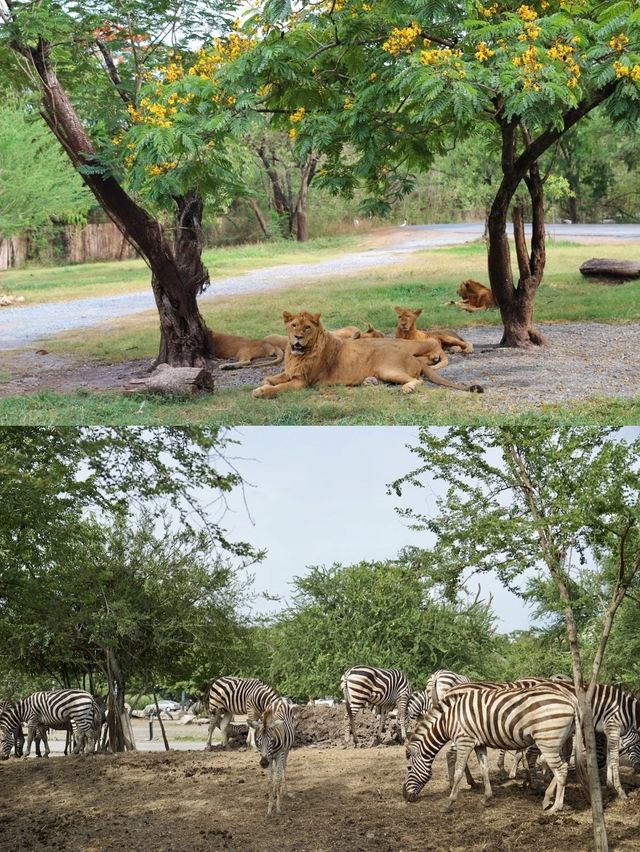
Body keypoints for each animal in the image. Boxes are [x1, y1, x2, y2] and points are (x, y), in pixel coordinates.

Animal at [252, 312, 482, 398]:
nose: (297, 337)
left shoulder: (302, 382)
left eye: (307, 327)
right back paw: (369, 381)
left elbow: (279, 387)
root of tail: (412, 358)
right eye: (293, 325)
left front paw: (262, 391)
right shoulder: (289, 372)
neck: (298, 355)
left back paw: (406, 388)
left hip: (389, 368)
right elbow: (270, 378)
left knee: (418, 380)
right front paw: (264, 384)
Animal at [402, 684, 588, 816]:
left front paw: (449, 803)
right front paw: (486, 798)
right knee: (564, 765)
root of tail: (570, 701)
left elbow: (459, 772)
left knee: (561, 769)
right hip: (557, 741)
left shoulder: (464, 741)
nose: (405, 796)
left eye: (409, 768)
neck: (448, 720)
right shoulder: (479, 744)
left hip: (547, 741)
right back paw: (548, 799)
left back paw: (556, 807)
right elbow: (484, 769)